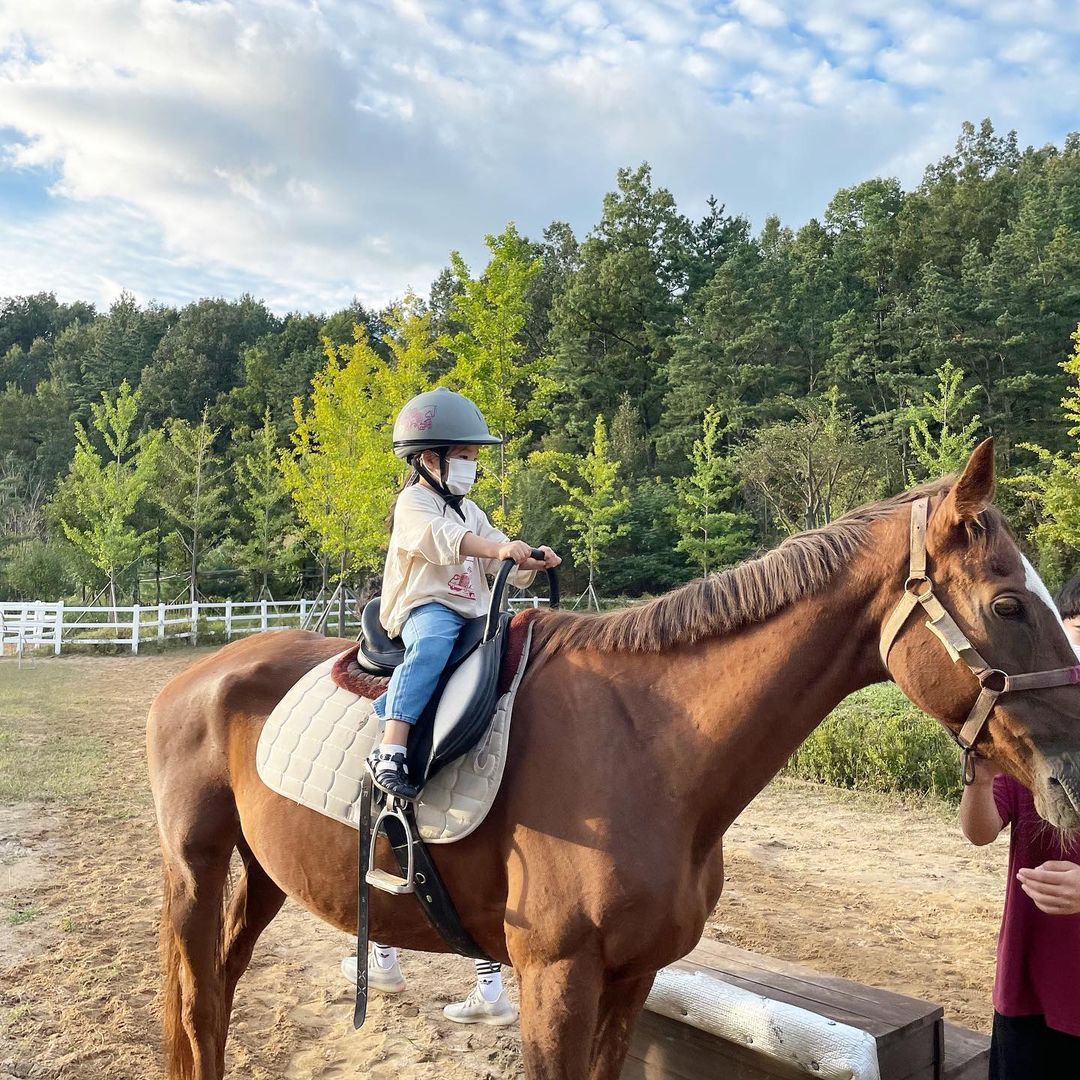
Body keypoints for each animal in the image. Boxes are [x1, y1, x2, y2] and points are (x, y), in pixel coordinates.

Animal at [150, 440, 1080, 1080]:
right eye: (1009, 604)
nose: (1073, 781)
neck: (650, 746)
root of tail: (197, 674)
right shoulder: (557, 978)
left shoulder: (631, 977)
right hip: (197, 869)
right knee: (198, 1006)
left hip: (266, 874)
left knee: (220, 994)